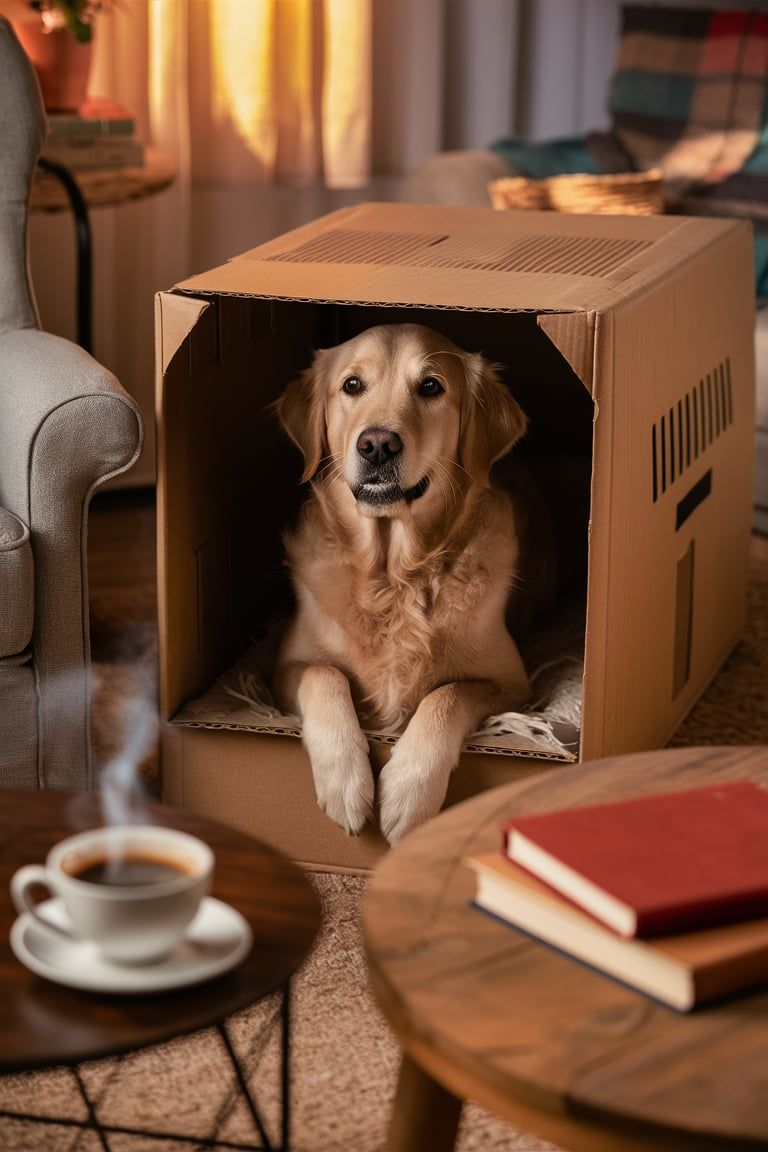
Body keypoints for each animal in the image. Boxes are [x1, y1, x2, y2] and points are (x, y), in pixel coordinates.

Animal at [272, 324, 550, 847]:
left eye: (430, 387)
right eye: (352, 385)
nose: (378, 445)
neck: (392, 577)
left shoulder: (511, 682)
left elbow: (447, 694)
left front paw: (407, 792)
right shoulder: (283, 668)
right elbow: (325, 674)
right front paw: (345, 781)